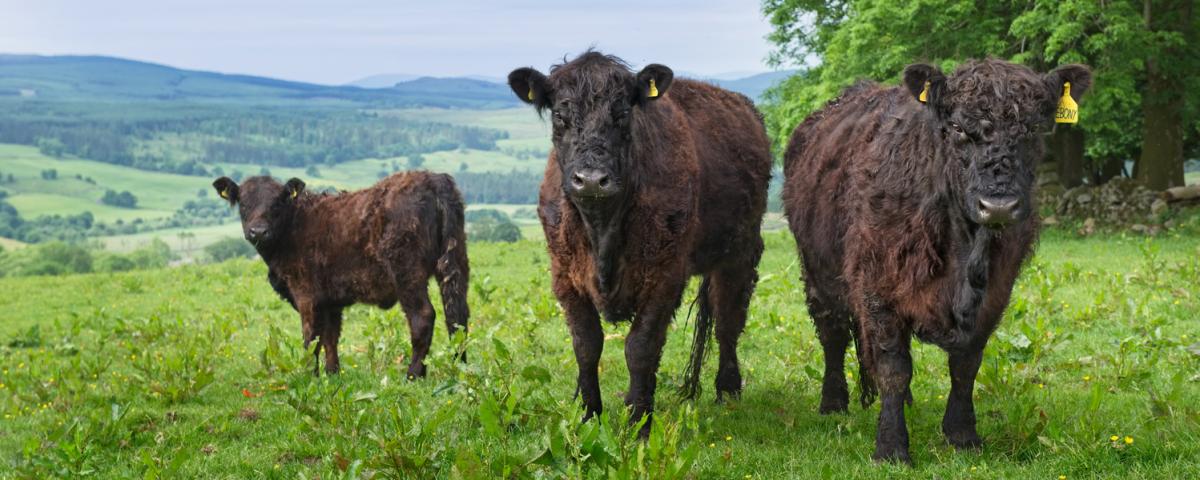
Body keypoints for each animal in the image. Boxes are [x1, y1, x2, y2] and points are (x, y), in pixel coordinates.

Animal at [213, 172, 465, 379]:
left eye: (277, 203)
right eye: (243, 203)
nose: (258, 231)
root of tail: (432, 178)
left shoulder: (307, 295)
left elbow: (311, 337)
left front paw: (309, 375)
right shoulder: (329, 302)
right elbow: (330, 337)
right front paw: (332, 373)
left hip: (408, 273)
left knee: (423, 317)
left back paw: (413, 374)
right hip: (456, 260)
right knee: (457, 316)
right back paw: (460, 367)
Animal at [504, 51, 768, 434]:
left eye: (623, 114)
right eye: (560, 116)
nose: (591, 180)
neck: (602, 229)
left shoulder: (664, 277)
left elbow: (640, 348)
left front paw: (639, 423)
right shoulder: (565, 277)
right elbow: (586, 345)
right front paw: (588, 414)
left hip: (741, 253)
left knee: (727, 322)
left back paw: (728, 391)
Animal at [782, 58, 1094, 463]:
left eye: (1034, 128)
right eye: (958, 127)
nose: (998, 205)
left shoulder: (994, 294)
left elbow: (965, 366)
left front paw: (962, 434)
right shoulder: (878, 288)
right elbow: (894, 368)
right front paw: (891, 447)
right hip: (817, 274)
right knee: (832, 335)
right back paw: (833, 403)